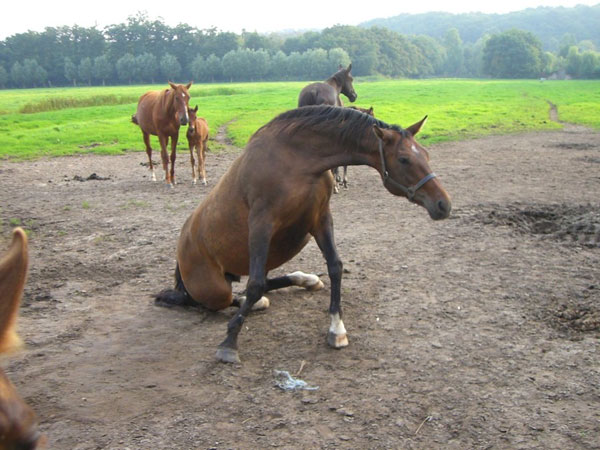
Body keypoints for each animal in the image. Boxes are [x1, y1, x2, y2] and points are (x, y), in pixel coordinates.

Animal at [155, 103, 450, 364]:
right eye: (403, 159)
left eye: (425, 154)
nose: (443, 204)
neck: (297, 160)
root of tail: (181, 255)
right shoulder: (262, 224)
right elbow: (255, 284)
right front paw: (229, 343)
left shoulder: (320, 219)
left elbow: (334, 267)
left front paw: (336, 329)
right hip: (214, 290)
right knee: (222, 298)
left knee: (258, 288)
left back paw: (302, 281)